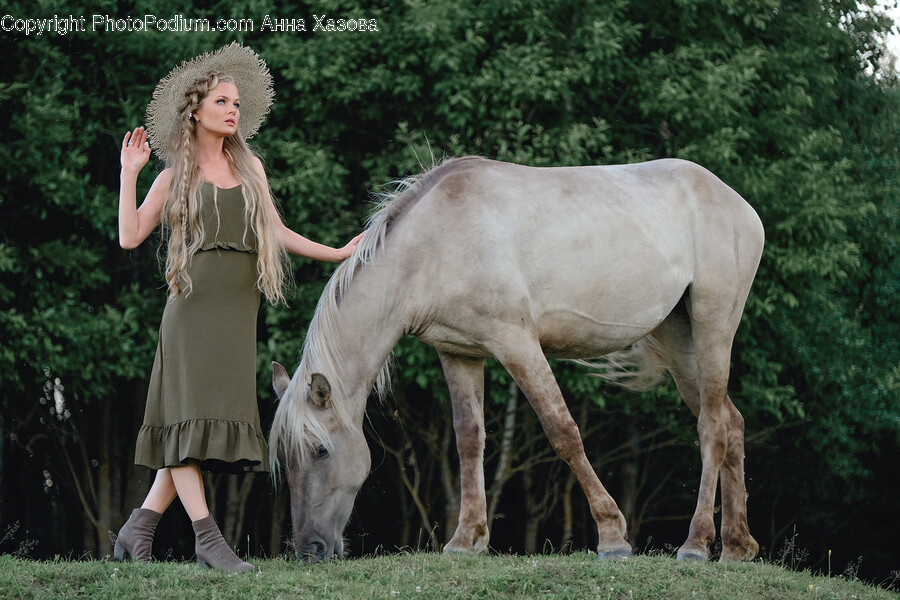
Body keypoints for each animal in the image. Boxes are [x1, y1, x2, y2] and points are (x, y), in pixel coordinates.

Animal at [269, 156, 764, 563]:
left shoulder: (517, 342)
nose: (309, 549)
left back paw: (696, 545)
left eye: (319, 450)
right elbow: (469, 439)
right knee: (732, 422)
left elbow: (563, 431)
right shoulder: (458, 353)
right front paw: (466, 540)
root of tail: (736, 201)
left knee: (713, 428)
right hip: (679, 339)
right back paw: (736, 547)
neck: (433, 243)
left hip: (713, 327)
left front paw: (612, 537)